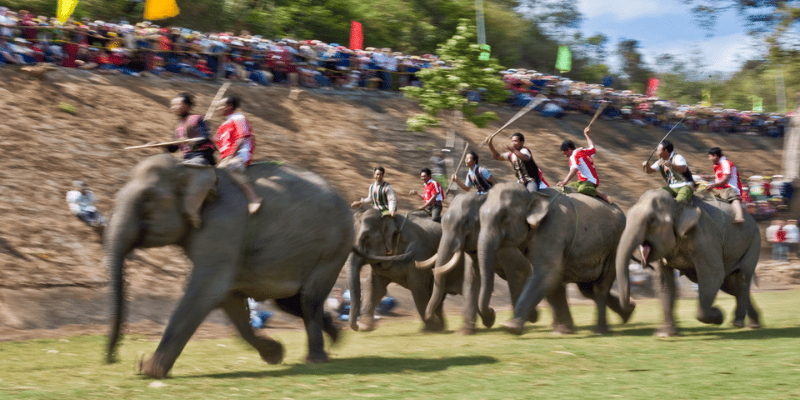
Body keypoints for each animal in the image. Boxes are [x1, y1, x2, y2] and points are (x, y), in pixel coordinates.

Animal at [104, 155, 354, 380]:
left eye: (147, 200)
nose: (112, 359)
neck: (190, 168)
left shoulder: (224, 223)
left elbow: (206, 292)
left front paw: (148, 370)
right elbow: (227, 297)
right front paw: (275, 354)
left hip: (334, 248)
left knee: (308, 299)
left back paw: (316, 359)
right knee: (290, 302)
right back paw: (336, 338)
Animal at [422, 192, 536, 336]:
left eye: (466, 223)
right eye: (442, 223)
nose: (431, 318)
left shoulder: (505, 245)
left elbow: (518, 269)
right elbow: (471, 278)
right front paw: (465, 331)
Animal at [478, 184, 636, 334]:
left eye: (503, 216)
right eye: (479, 218)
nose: (492, 313)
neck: (533, 195)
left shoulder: (552, 229)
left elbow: (547, 273)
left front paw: (510, 327)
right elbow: (553, 281)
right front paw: (563, 331)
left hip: (615, 246)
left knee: (600, 287)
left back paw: (601, 330)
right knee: (587, 289)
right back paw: (627, 313)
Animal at [612, 189, 764, 336]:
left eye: (651, 219)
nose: (632, 305)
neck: (678, 204)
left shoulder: (704, 237)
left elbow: (713, 275)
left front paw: (719, 316)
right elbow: (664, 281)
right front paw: (665, 335)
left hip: (754, 240)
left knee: (742, 277)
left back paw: (739, 322)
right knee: (731, 285)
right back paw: (752, 323)